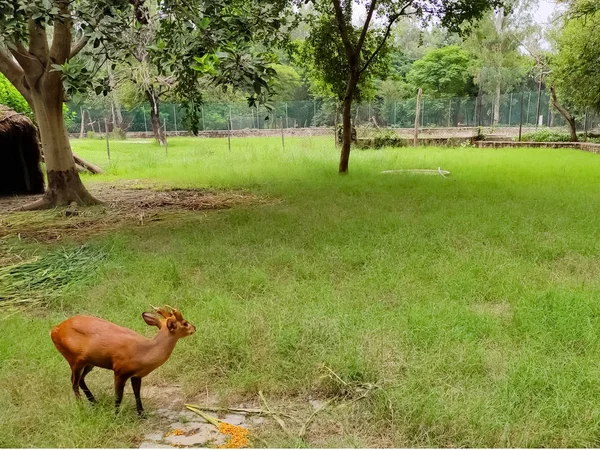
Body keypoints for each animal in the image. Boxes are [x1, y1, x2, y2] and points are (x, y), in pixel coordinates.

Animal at [50, 306, 195, 414]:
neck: (144, 352)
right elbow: (118, 397)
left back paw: (94, 403)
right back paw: (81, 408)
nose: (194, 328)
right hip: (74, 359)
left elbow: (137, 393)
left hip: (89, 362)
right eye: (185, 323)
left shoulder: (136, 374)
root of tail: (54, 330)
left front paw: (142, 414)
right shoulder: (119, 370)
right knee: (74, 383)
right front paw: (115, 415)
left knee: (80, 380)